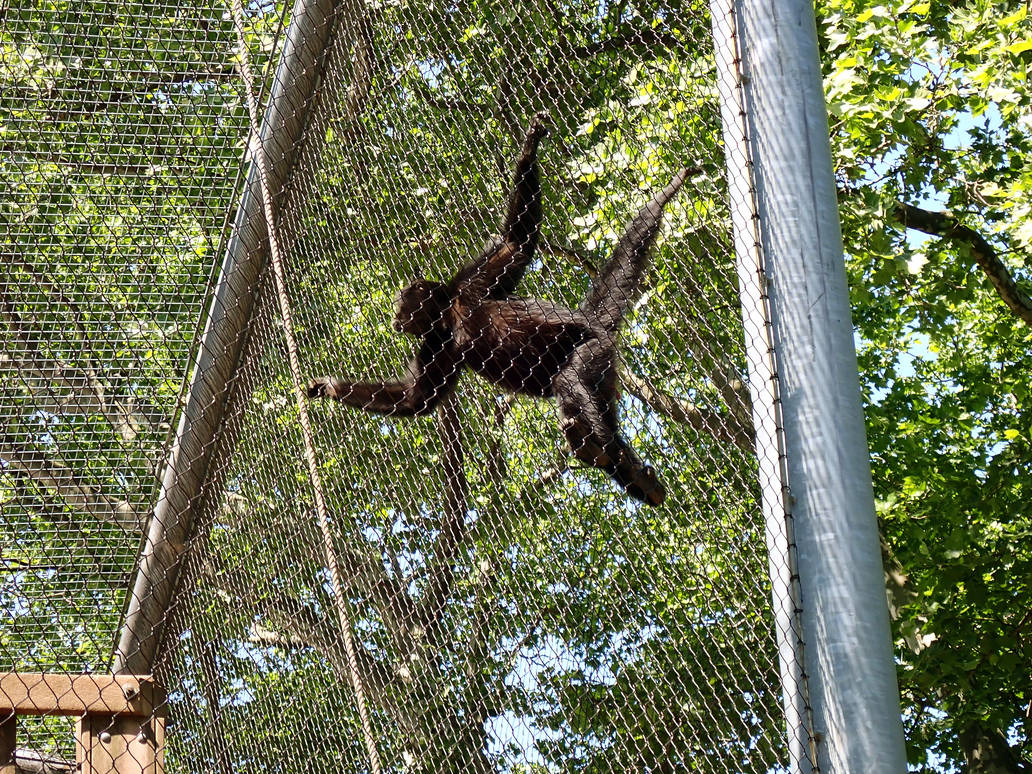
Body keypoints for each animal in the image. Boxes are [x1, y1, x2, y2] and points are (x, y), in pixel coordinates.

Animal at [308, 112, 689, 506]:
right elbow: (416, 398)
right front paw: (329, 387)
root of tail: (593, 321)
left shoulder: (469, 286)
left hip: (594, 349)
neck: (448, 316)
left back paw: (609, 453)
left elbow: (515, 243)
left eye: (400, 306)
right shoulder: (437, 342)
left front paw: (528, 148)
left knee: (570, 379)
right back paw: (630, 473)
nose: (395, 319)